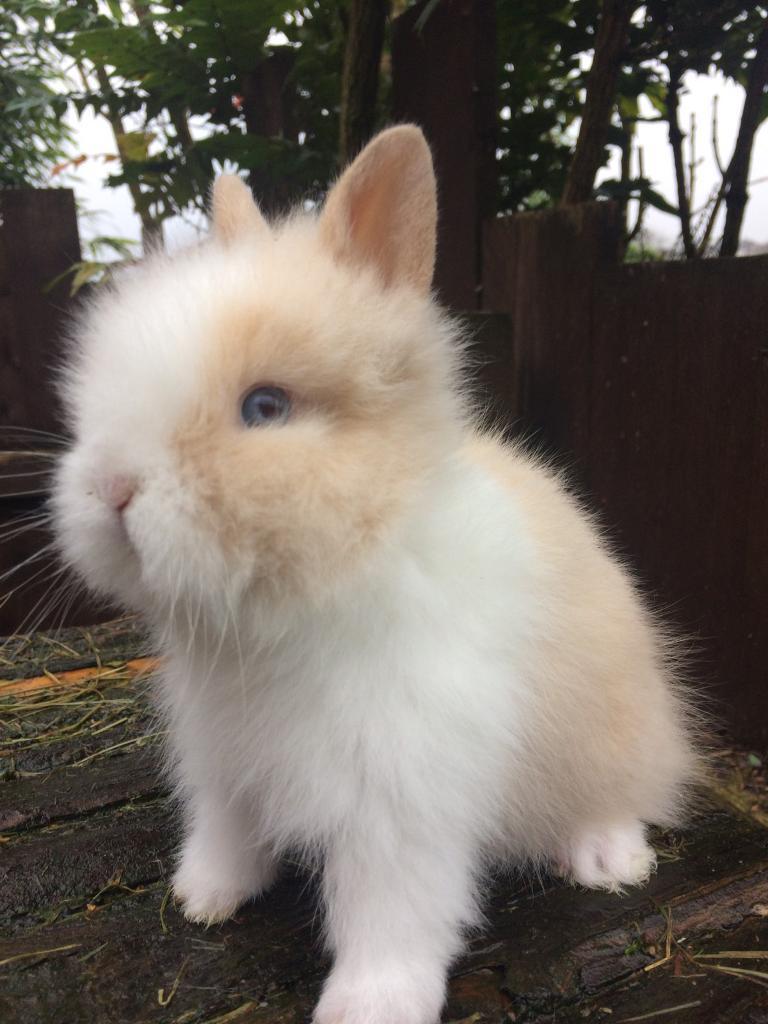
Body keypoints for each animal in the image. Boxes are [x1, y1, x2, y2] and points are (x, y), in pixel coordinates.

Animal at [52, 125, 703, 1024]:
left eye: (266, 408)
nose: (112, 488)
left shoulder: (400, 800)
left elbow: (390, 912)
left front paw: (370, 1005)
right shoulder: (223, 763)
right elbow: (227, 833)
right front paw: (204, 897)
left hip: (615, 737)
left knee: (629, 795)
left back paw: (610, 861)